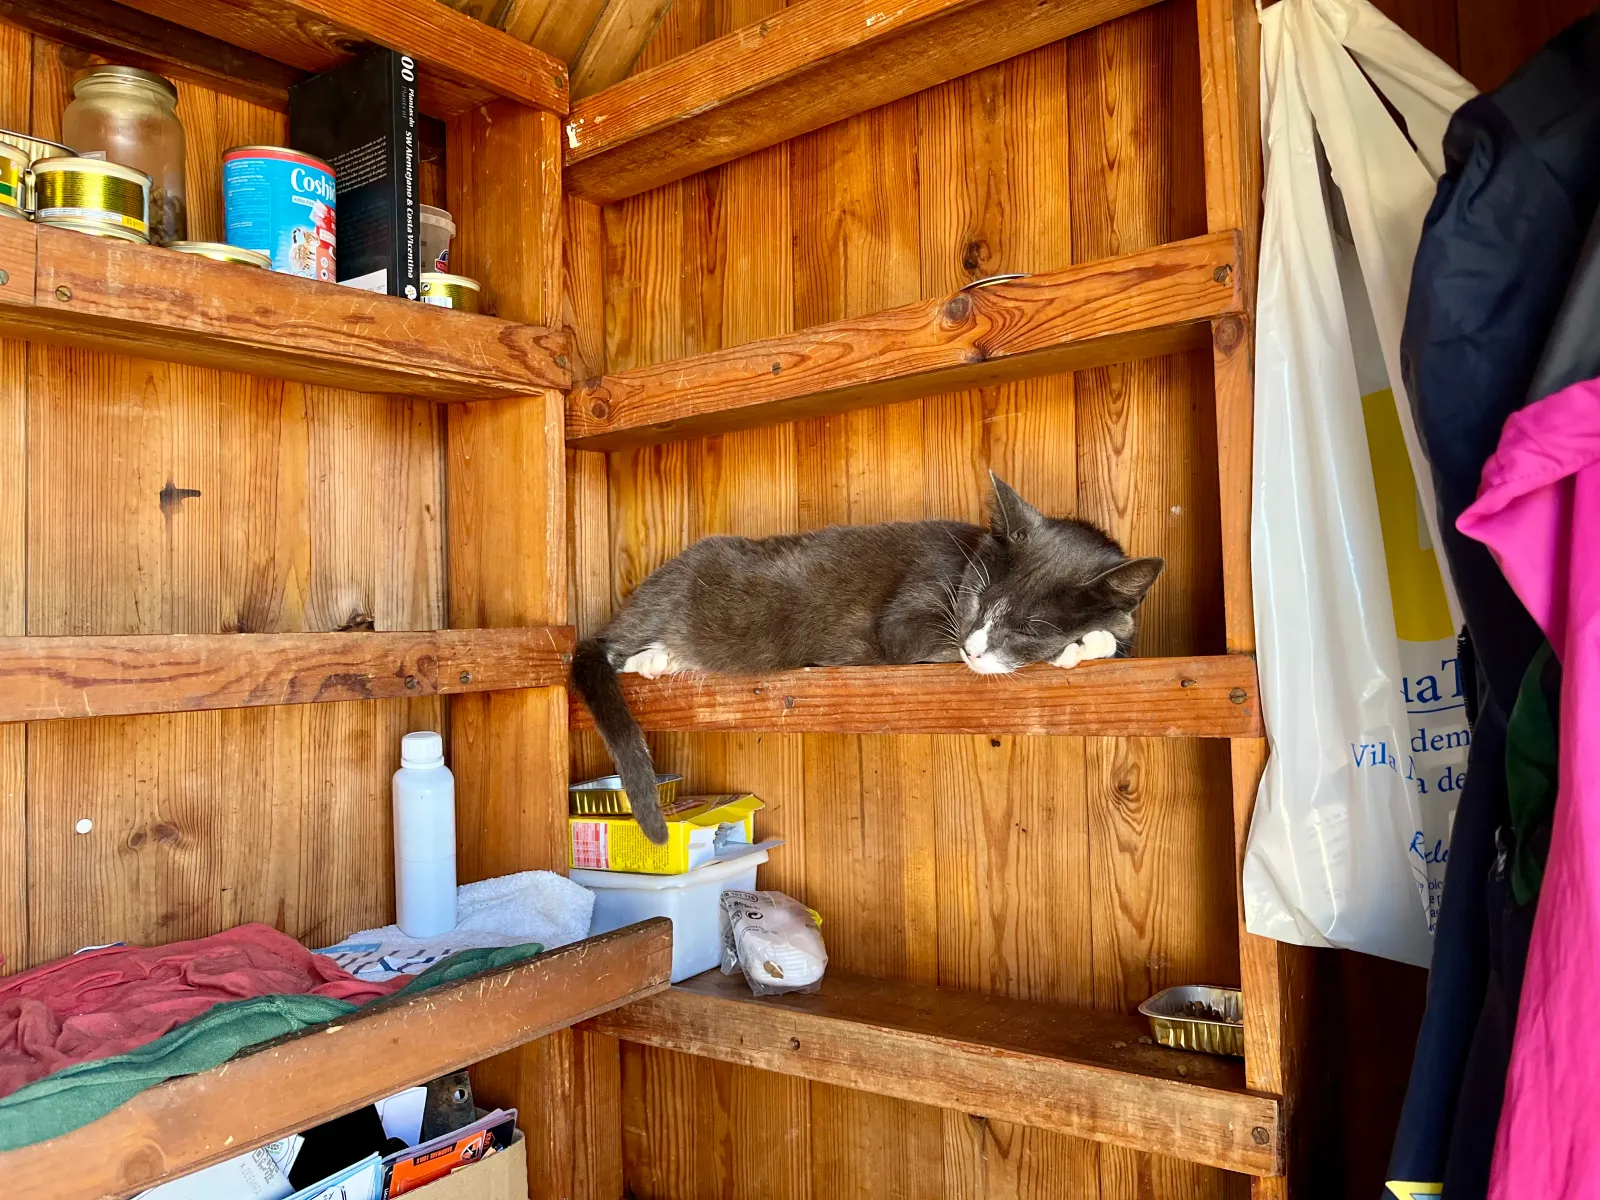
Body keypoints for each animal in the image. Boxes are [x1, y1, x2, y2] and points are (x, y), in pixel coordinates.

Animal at [576, 473, 1164, 838]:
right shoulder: (911, 619)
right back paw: (655, 658)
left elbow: (1120, 628)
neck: (965, 562)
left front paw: (1102, 635)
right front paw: (1079, 643)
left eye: (1026, 627)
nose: (974, 648)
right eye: (976, 597)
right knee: (619, 648)